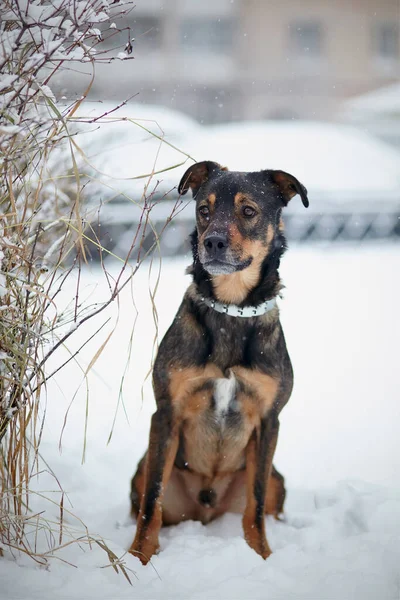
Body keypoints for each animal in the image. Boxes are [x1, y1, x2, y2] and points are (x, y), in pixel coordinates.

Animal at [128, 159, 310, 564]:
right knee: (144, 497)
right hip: (142, 467)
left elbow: (255, 504)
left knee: (266, 502)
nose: (211, 242)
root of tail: (206, 510)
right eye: (203, 210)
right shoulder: (166, 413)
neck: (232, 306)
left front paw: (261, 555)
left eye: (248, 211)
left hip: (277, 479)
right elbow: (152, 501)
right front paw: (138, 556)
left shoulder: (268, 421)